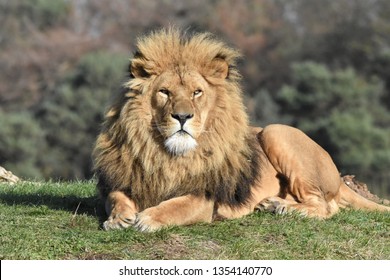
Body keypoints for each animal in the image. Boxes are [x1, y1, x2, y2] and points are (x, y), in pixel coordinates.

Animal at [93, 27, 388, 232]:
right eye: (164, 92)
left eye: (197, 92)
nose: (182, 116)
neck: (167, 155)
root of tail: (337, 175)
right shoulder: (122, 180)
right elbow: (116, 197)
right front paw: (118, 219)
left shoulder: (205, 197)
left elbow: (177, 206)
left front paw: (148, 218)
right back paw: (273, 203)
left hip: (275, 132)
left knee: (325, 206)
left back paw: (281, 206)